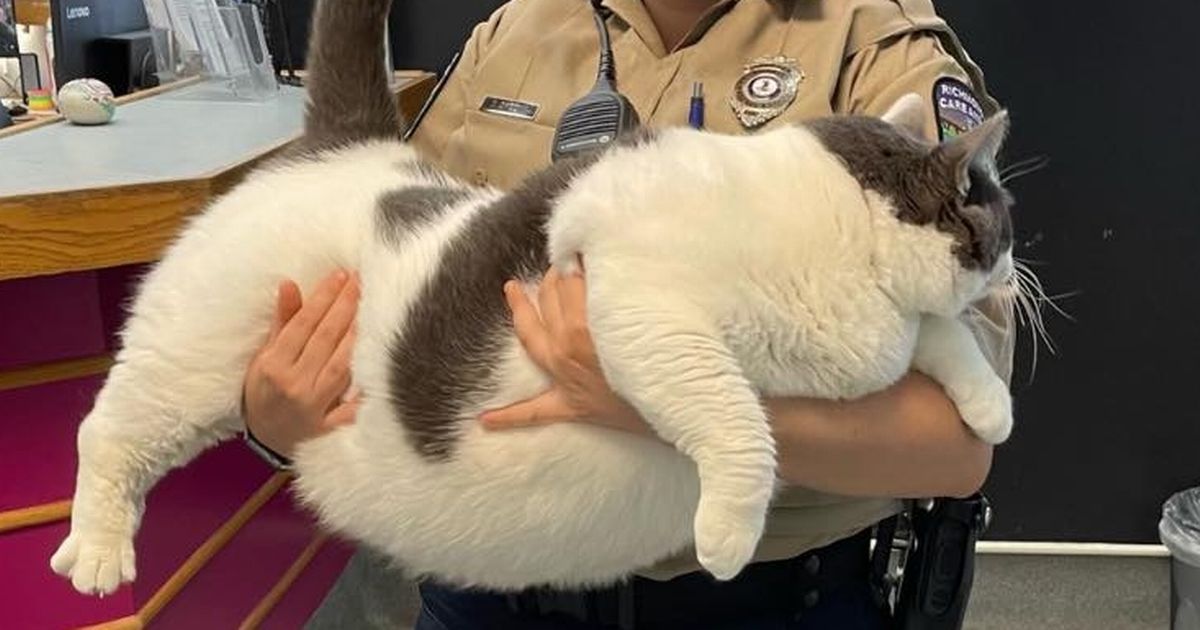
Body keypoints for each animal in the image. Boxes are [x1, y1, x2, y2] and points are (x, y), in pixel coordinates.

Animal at [51, 0, 1017, 595]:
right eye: (1000, 215)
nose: (1015, 266)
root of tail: (347, 146)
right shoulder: (643, 316)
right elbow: (738, 419)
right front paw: (727, 534)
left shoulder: (888, 334)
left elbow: (942, 340)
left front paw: (989, 407)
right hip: (190, 358)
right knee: (106, 431)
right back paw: (96, 552)